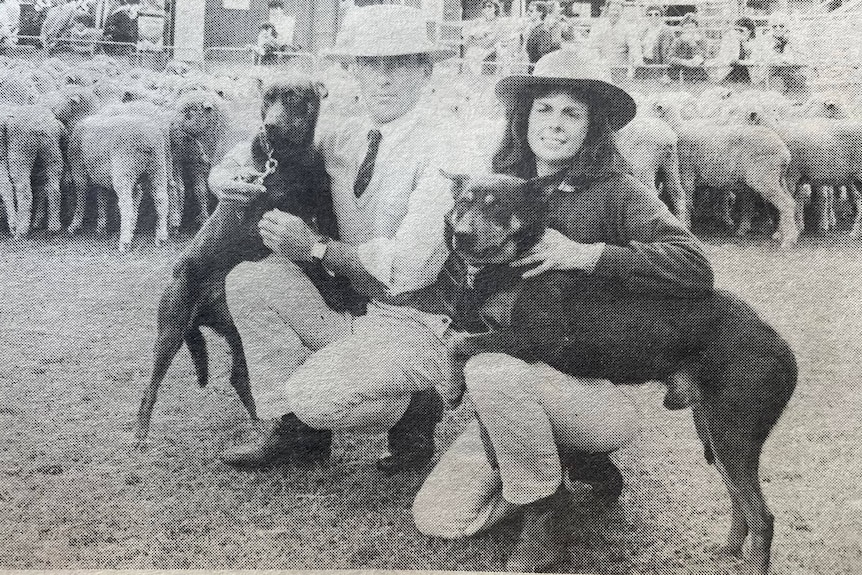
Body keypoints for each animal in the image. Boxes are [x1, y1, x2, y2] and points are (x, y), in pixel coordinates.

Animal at [135, 79, 364, 444]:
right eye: (266, 99)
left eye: (295, 97)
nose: (270, 125)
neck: (289, 160)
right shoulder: (273, 226)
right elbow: (313, 264)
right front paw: (337, 295)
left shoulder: (323, 211)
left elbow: (328, 250)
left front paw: (347, 290)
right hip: (170, 331)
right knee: (151, 387)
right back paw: (142, 431)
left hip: (232, 334)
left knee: (239, 379)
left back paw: (260, 427)